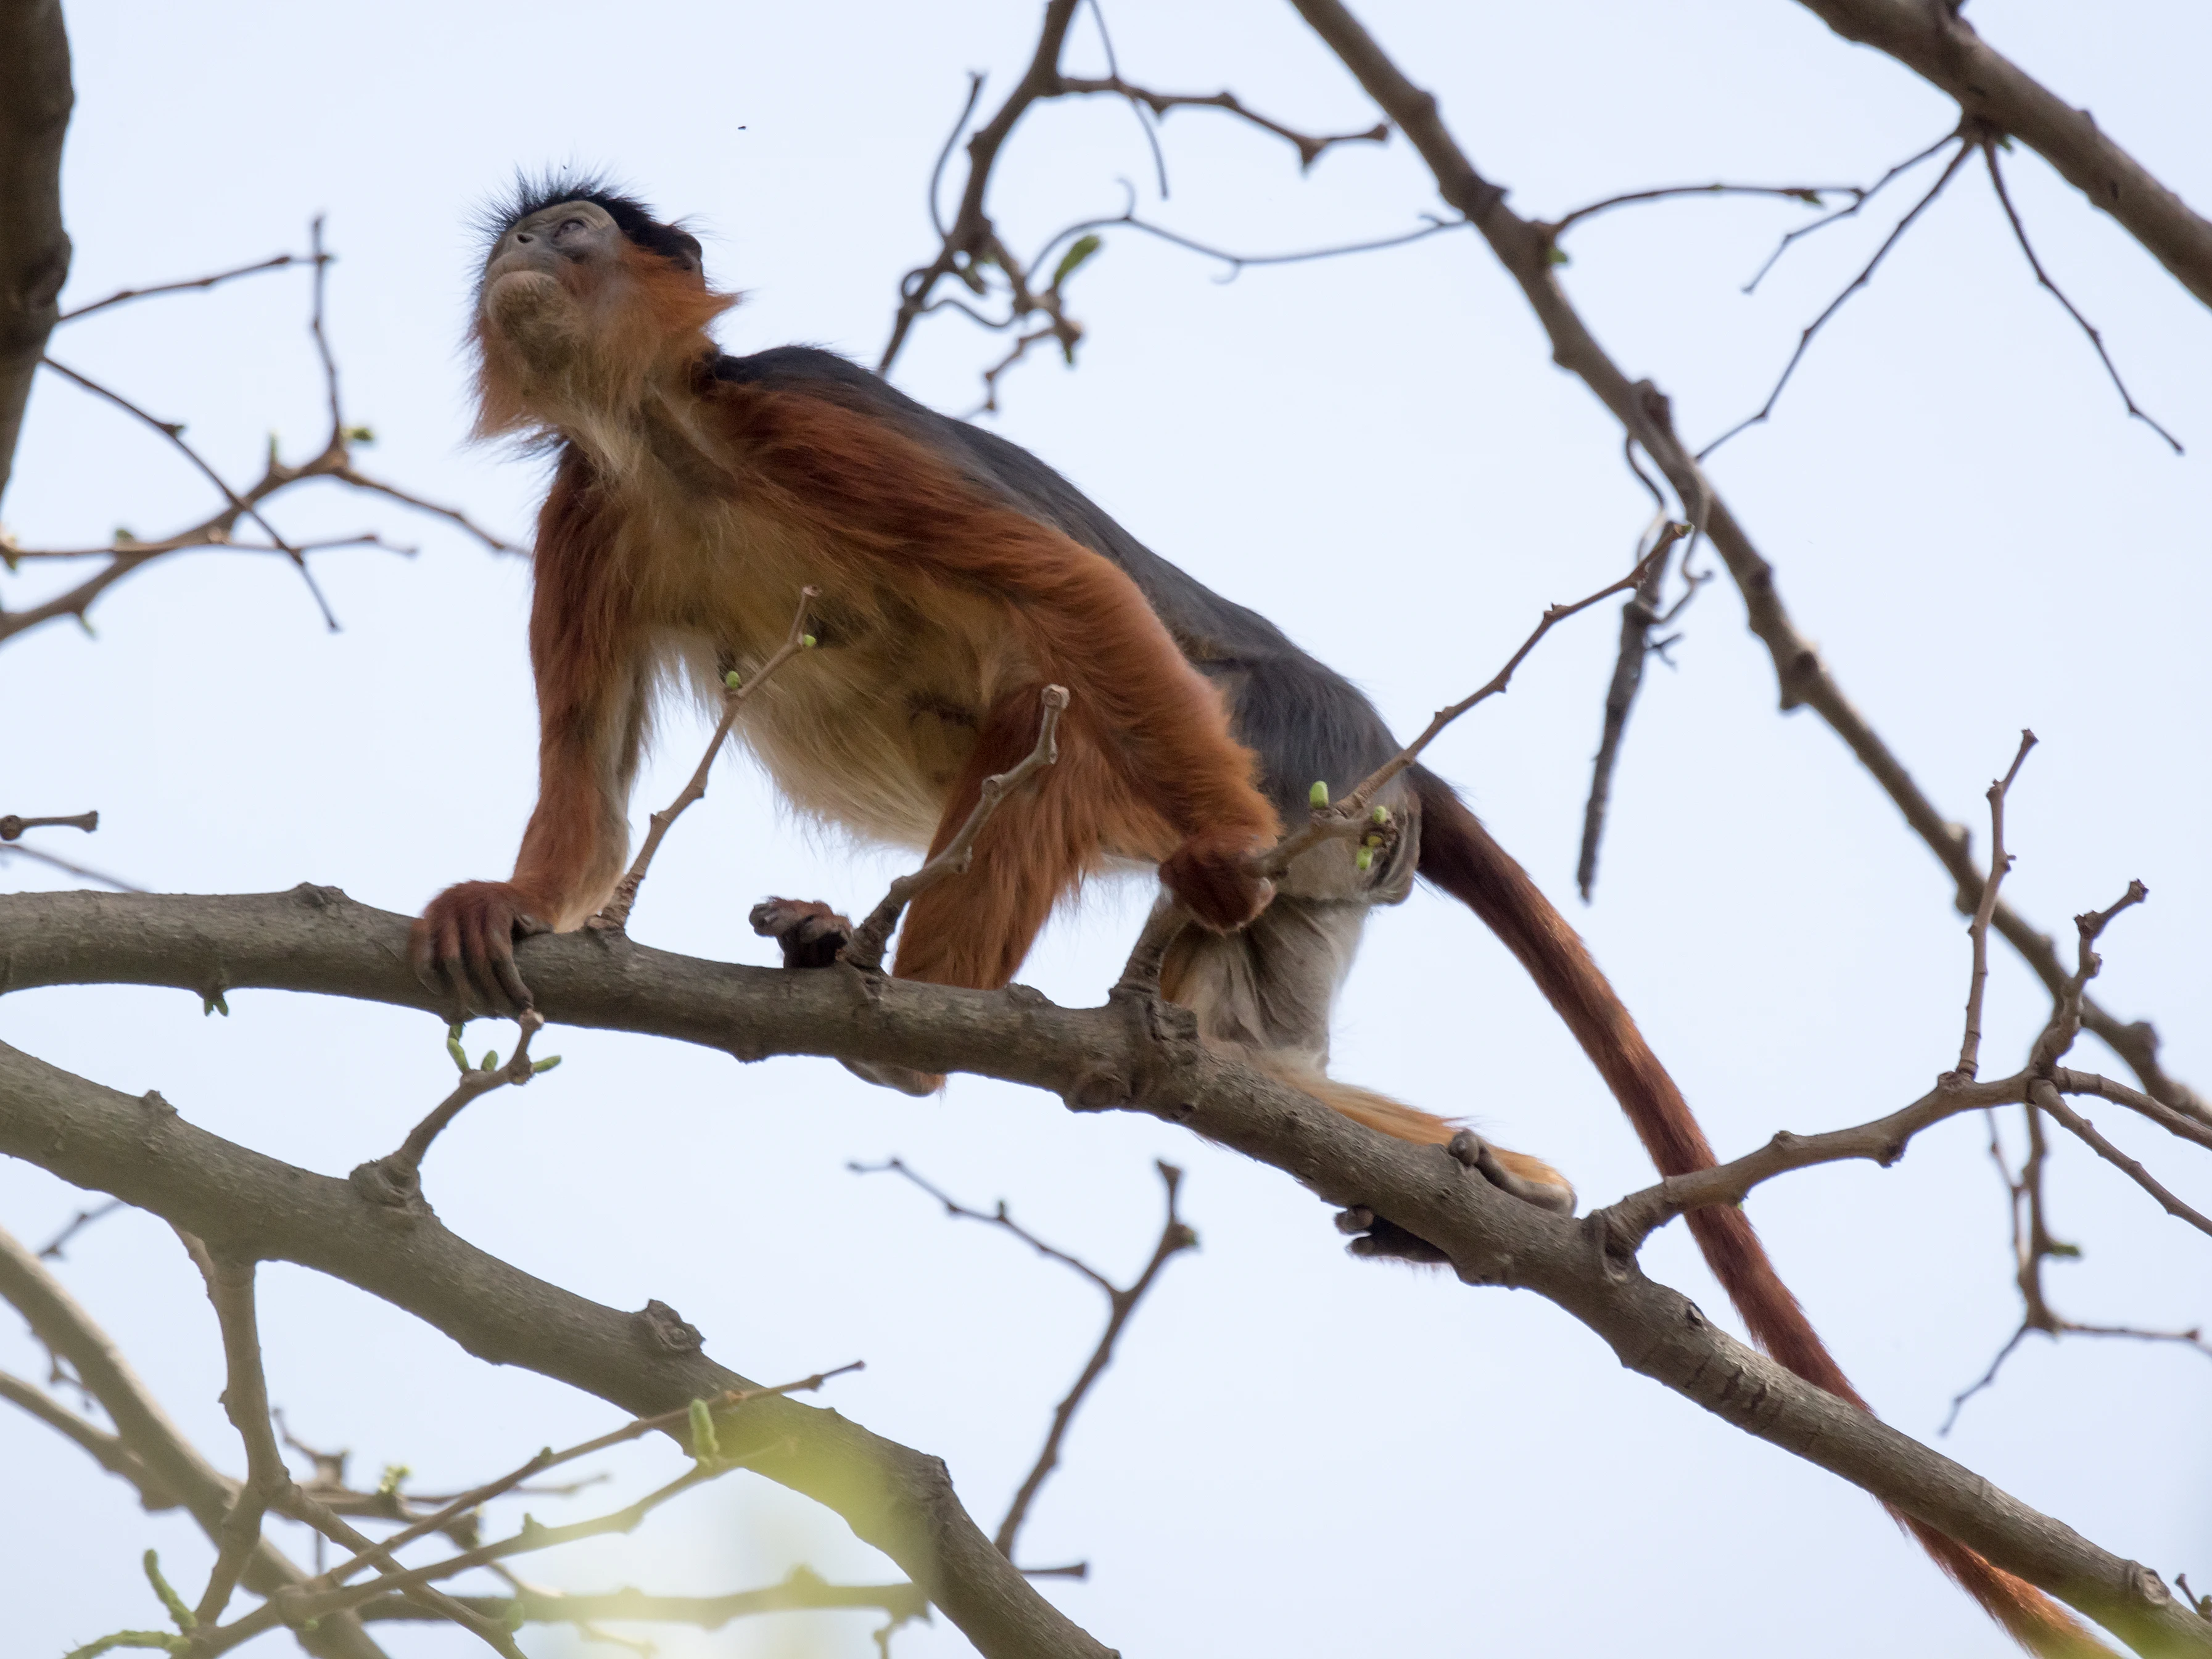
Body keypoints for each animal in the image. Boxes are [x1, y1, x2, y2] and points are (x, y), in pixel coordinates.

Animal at [412, 177, 2088, 1657]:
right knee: (1238, 1056)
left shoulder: (800, 416)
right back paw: (1493, 1185)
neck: (668, 444)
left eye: (574, 233)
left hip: (1272, 748)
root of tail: (1381, 750)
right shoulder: (589, 507)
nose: (522, 258)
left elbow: (1071, 586)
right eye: (514, 241)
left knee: (1062, 685)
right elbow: (586, 796)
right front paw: (508, 902)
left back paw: (913, 1012)